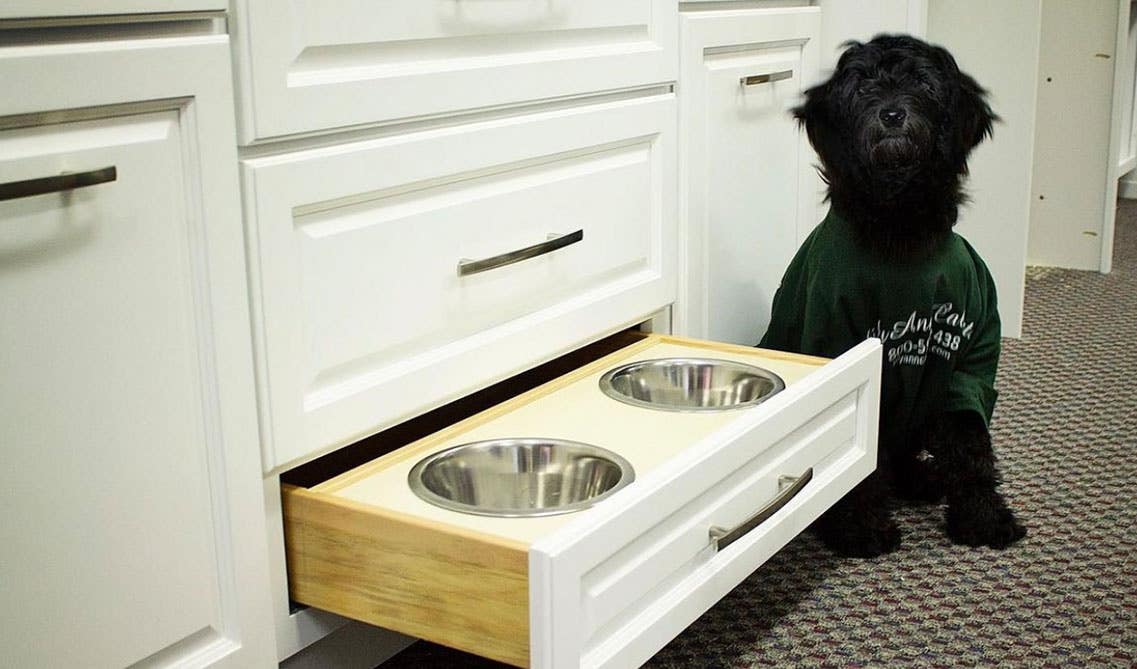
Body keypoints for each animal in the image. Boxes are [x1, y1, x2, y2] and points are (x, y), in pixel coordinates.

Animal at [759, 35, 1027, 559]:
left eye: (923, 83)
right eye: (863, 84)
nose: (891, 114)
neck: (899, 227)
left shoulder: (970, 361)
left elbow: (972, 447)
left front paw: (984, 519)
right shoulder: (840, 340)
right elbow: (860, 459)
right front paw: (861, 529)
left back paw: (924, 479)